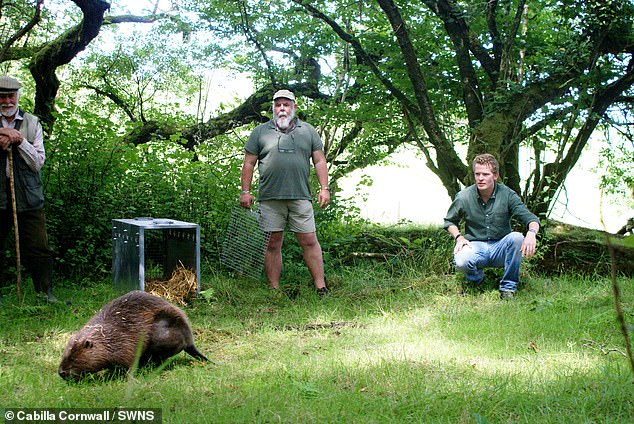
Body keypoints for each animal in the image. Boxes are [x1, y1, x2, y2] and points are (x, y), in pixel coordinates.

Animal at [58, 290, 207, 380]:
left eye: (73, 358)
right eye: (64, 355)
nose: (61, 372)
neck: (105, 337)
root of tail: (190, 342)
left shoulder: (124, 343)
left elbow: (130, 361)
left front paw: (128, 377)